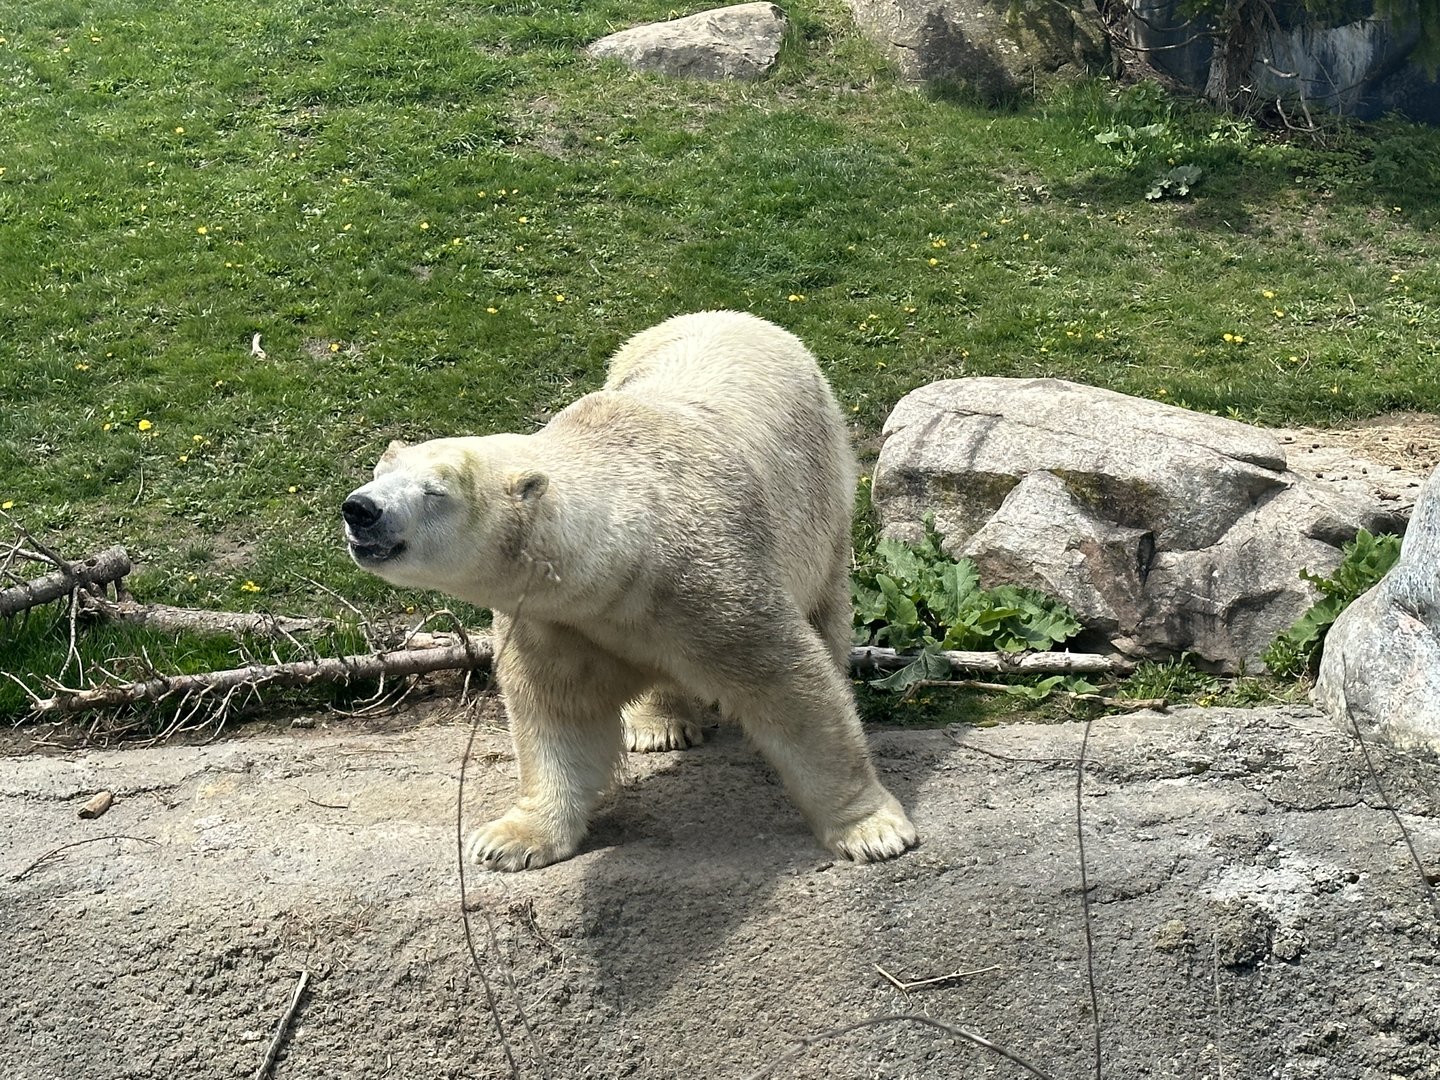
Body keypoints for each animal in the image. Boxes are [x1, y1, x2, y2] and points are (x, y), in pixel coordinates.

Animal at [342, 310, 918, 870]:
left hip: (823, 488)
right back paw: (658, 726)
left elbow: (793, 687)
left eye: (435, 491)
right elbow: (556, 712)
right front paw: (509, 840)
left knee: (825, 606)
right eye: (379, 470)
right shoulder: (555, 617)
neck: (627, 549)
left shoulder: (716, 583)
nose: (360, 508)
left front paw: (874, 830)